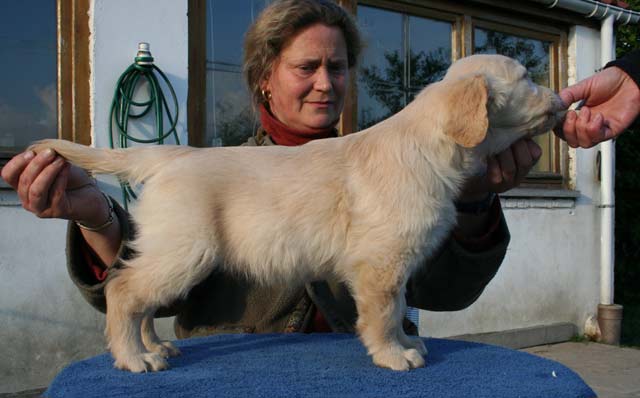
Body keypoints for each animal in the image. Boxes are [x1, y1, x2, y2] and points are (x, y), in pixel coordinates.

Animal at [30, 55, 564, 374]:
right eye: (527, 80)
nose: (561, 99)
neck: (428, 147)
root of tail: (169, 155)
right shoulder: (381, 263)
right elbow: (385, 313)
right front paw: (394, 354)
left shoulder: (389, 264)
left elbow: (394, 310)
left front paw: (402, 347)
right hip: (185, 250)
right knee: (123, 292)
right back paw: (133, 358)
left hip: (169, 249)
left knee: (139, 298)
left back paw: (152, 348)